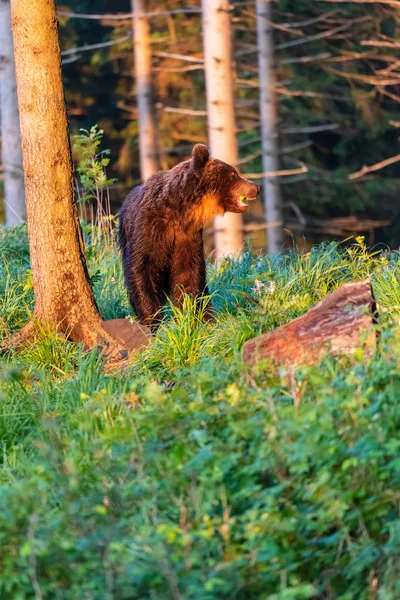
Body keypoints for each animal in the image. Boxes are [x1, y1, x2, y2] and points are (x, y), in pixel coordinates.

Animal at [118, 143, 260, 326]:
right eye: (233, 173)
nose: (256, 187)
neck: (180, 211)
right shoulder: (150, 228)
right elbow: (142, 267)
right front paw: (153, 319)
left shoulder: (187, 236)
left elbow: (187, 273)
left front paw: (189, 316)